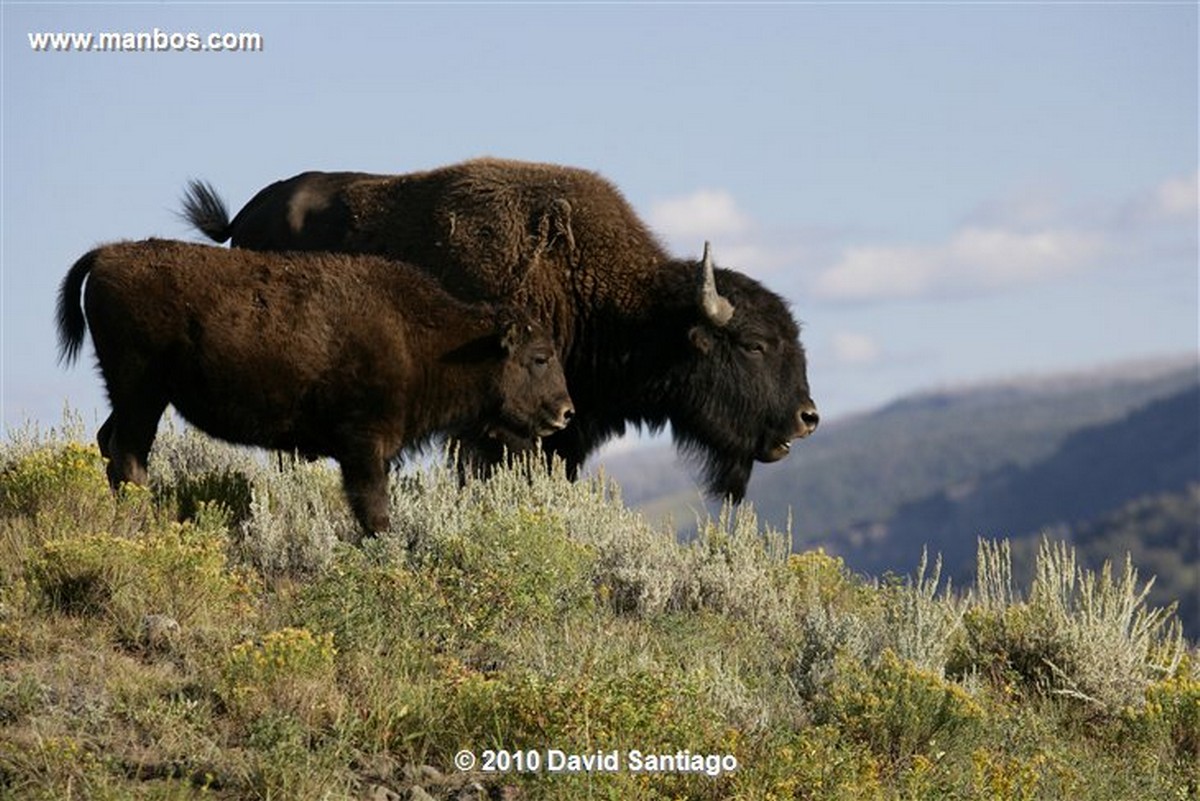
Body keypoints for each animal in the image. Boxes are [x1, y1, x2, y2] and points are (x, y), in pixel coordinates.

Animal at [58, 237, 573, 537]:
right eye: (539, 357)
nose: (565, 411)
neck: (429, 338)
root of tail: (107, 254)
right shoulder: (364, 445)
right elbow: (373, 506)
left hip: (135, 395)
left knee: (112, 444)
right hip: (142, 391)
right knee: (129, 454)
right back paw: (143, 520)